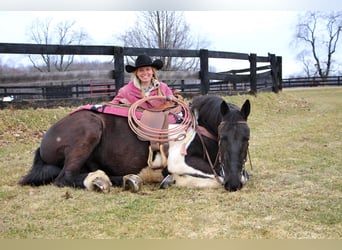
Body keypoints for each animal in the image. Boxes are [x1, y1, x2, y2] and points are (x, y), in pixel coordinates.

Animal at [19, 94, 251, 192]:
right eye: (223, 137)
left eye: (246, 138)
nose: (233, 184)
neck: (198, 127)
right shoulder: (179, 161)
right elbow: (216, 177)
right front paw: (173, 180)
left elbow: (240, 175)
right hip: (89, 130)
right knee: (64, 178)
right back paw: (99, 181)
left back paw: (127, 179)